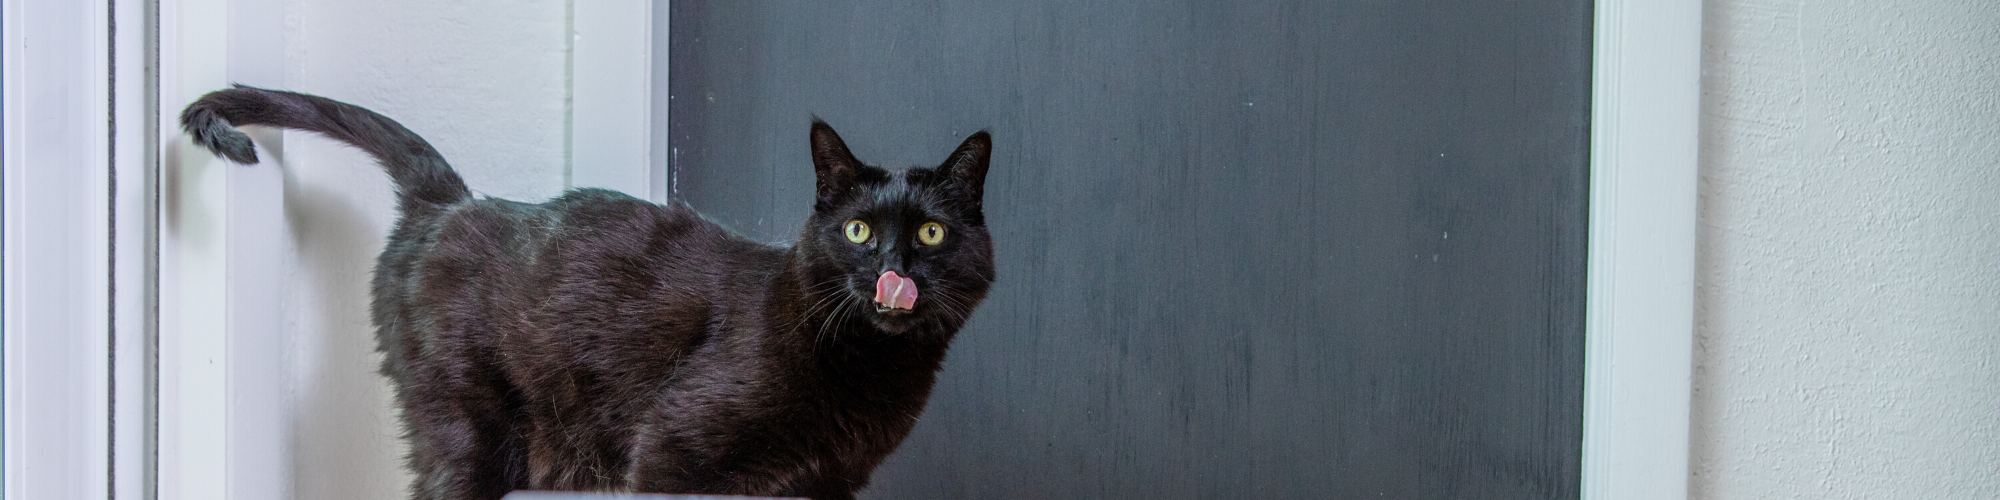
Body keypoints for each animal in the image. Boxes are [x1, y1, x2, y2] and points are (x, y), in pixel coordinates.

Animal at [180, 86, 992, 500]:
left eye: (931, 234)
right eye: (857, 231)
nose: (892, 268)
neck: (868, 373)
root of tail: (454, 202)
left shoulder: (825, 487)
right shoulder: (672, 453)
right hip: (466, 428)